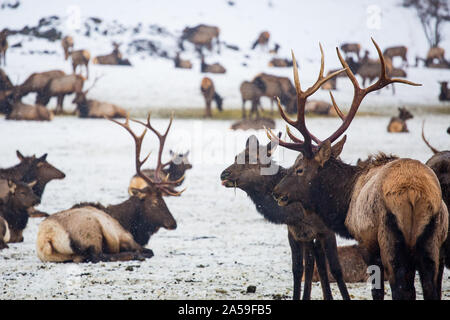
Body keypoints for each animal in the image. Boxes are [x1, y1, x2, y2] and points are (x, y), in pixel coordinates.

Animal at [220, 135, 350, 300]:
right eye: (236, 156)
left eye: (251, 158)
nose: (223, 174)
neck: (297, 213)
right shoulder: (295, 232)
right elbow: (298, 269)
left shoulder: (326, 230)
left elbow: (336, 269)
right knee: (312, 262)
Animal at [268, 38, 448, 300]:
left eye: (299, 168)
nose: (276, 192)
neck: (345, 200)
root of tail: (415, 195)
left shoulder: (366, 243)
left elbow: (378, 291)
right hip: (431, 243)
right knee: (429, 287)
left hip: (390, 240)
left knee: (399, 288)